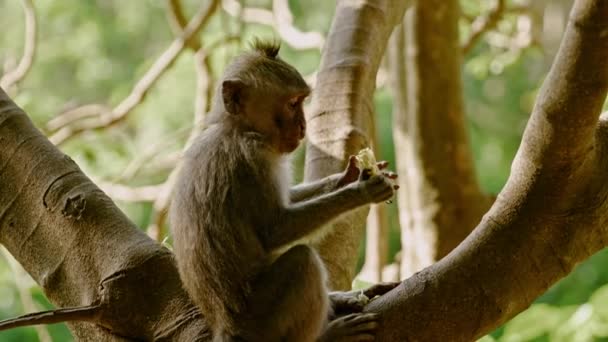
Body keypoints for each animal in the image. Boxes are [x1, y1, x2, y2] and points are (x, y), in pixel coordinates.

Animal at [170, 40, 400, 342]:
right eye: (292, 104)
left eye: (301, 101)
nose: (304, 126)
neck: (238, 129)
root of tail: (224, 326)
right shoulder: (250, 158)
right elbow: (274, 229)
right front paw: (360, 192)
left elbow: (288, 200)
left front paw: (348, 176)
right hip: (258, 322)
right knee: (303, 262)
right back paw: (329, 334)